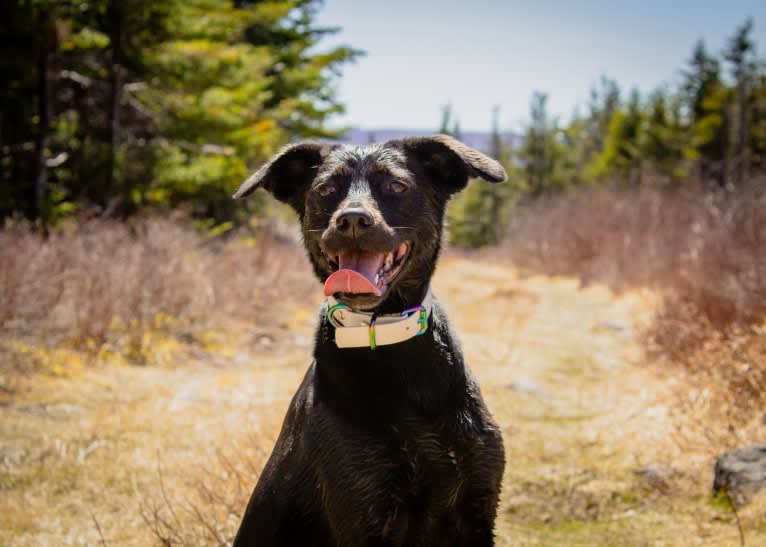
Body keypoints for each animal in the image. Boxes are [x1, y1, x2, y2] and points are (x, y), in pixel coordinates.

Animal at [234, 135, 510, 544]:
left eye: (395, 185)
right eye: (324, 190)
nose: (351, 220)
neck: (384, 334)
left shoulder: (477, 507)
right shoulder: (364, 511)